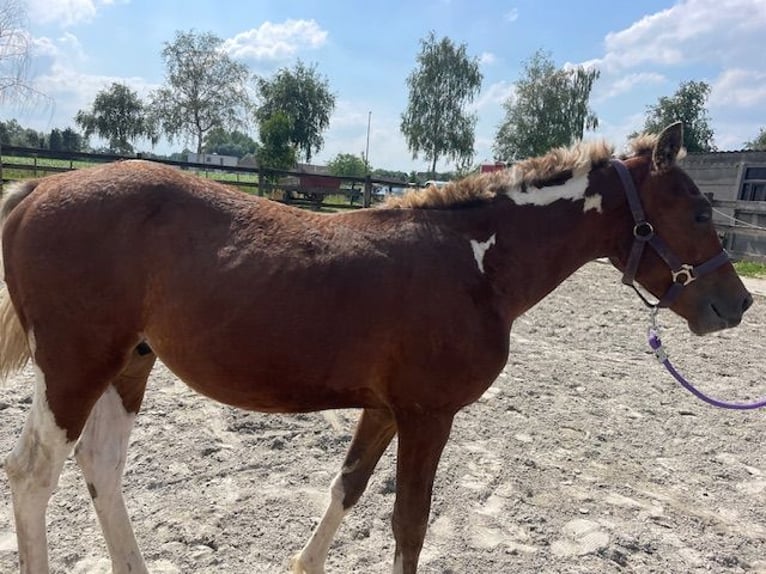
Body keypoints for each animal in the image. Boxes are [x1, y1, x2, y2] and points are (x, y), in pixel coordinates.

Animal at [0, 122, 752, 574]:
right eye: (699, 210)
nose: (738, 304)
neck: (474, 261)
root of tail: (42, 186)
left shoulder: (387, 409)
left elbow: (350, 486)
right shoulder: (429, 415)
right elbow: (409, 521)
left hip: (127, 364)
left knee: (100, 467)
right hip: (74, 368)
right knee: (34, 475)